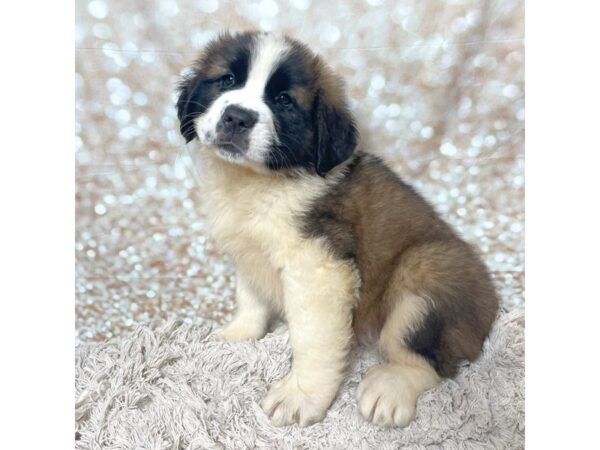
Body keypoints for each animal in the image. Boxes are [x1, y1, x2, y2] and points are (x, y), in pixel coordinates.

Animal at [176, 31, 499, 428]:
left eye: (283, 101)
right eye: (227, 80)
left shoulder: (320, 267)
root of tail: (492, 303)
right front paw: (238, 334)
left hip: (429, 270)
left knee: (427, 361)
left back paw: (390, 387)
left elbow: (313, 340)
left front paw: (301, 395)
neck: (258, 181)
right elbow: (250, 298)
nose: (237, 117)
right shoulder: (248, 251)